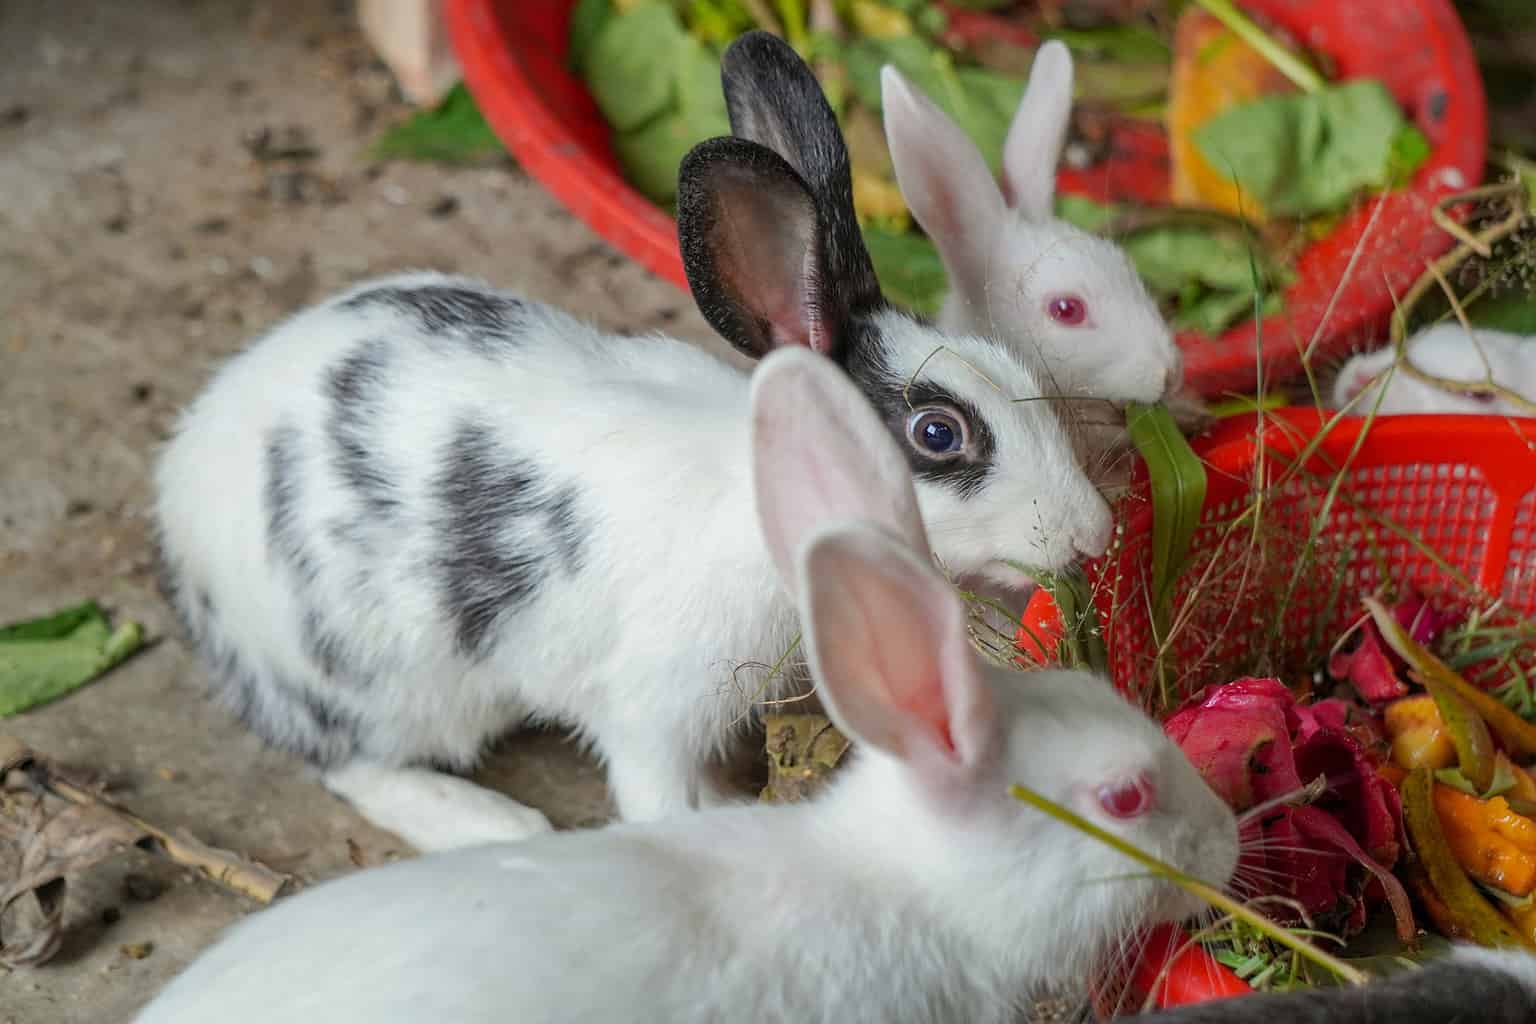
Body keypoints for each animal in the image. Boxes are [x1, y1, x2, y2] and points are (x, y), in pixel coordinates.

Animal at [151, 31, 1115, 855]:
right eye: (938, 432)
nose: (1093, 532)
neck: (766, 490)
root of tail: (180, 507)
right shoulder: (653, 709)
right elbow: (656, 796)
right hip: (385, 683)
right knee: (353, 765)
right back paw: (488, 823)